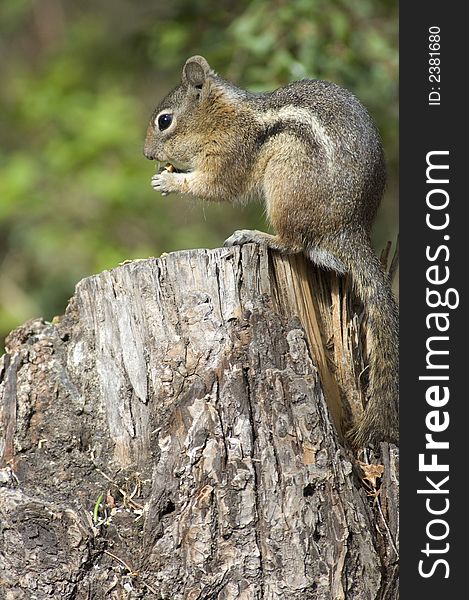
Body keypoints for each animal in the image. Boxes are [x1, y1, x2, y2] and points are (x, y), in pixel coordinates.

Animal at [144, 56, 398, 448]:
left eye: (164, 121)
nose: (146, 155)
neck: (221, 117)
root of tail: (351, 229)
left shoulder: (230, 154)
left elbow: (217, 186)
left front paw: (169, 180)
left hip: (285, 176)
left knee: (294, 242)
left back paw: (256, 236)